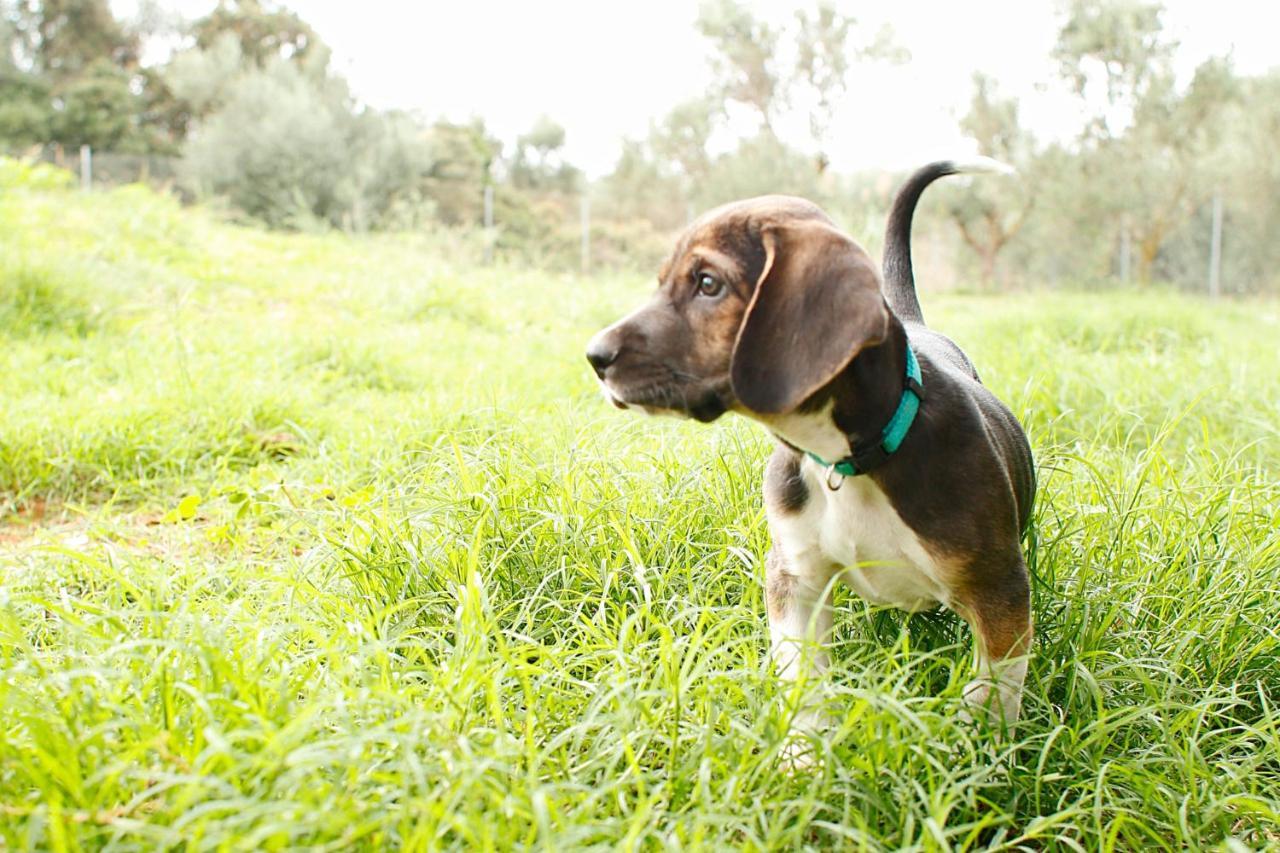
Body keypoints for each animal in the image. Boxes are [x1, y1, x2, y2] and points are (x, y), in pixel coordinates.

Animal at [586, 159, 1034, 742]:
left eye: (708, 284)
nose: (595, 356)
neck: (849, 459)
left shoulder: (999, 593)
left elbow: (990, 699)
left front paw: (979, 754)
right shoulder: (793, 579)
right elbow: (804, 684)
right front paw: (802, 755)